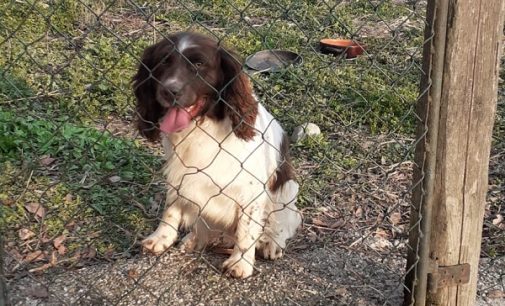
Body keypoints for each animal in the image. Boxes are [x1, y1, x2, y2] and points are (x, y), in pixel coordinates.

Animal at [132, 32, 302, 278]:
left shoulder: (251, 190)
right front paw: (161, 238)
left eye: (199, 64)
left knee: (283, 223)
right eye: (163, 61)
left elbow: (247, 231)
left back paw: (271, 243)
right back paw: (194, 239)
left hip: (287, 190)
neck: (202, 126)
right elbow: (171, 209)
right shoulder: (179, 174)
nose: (169, 91)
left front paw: (240, 263)